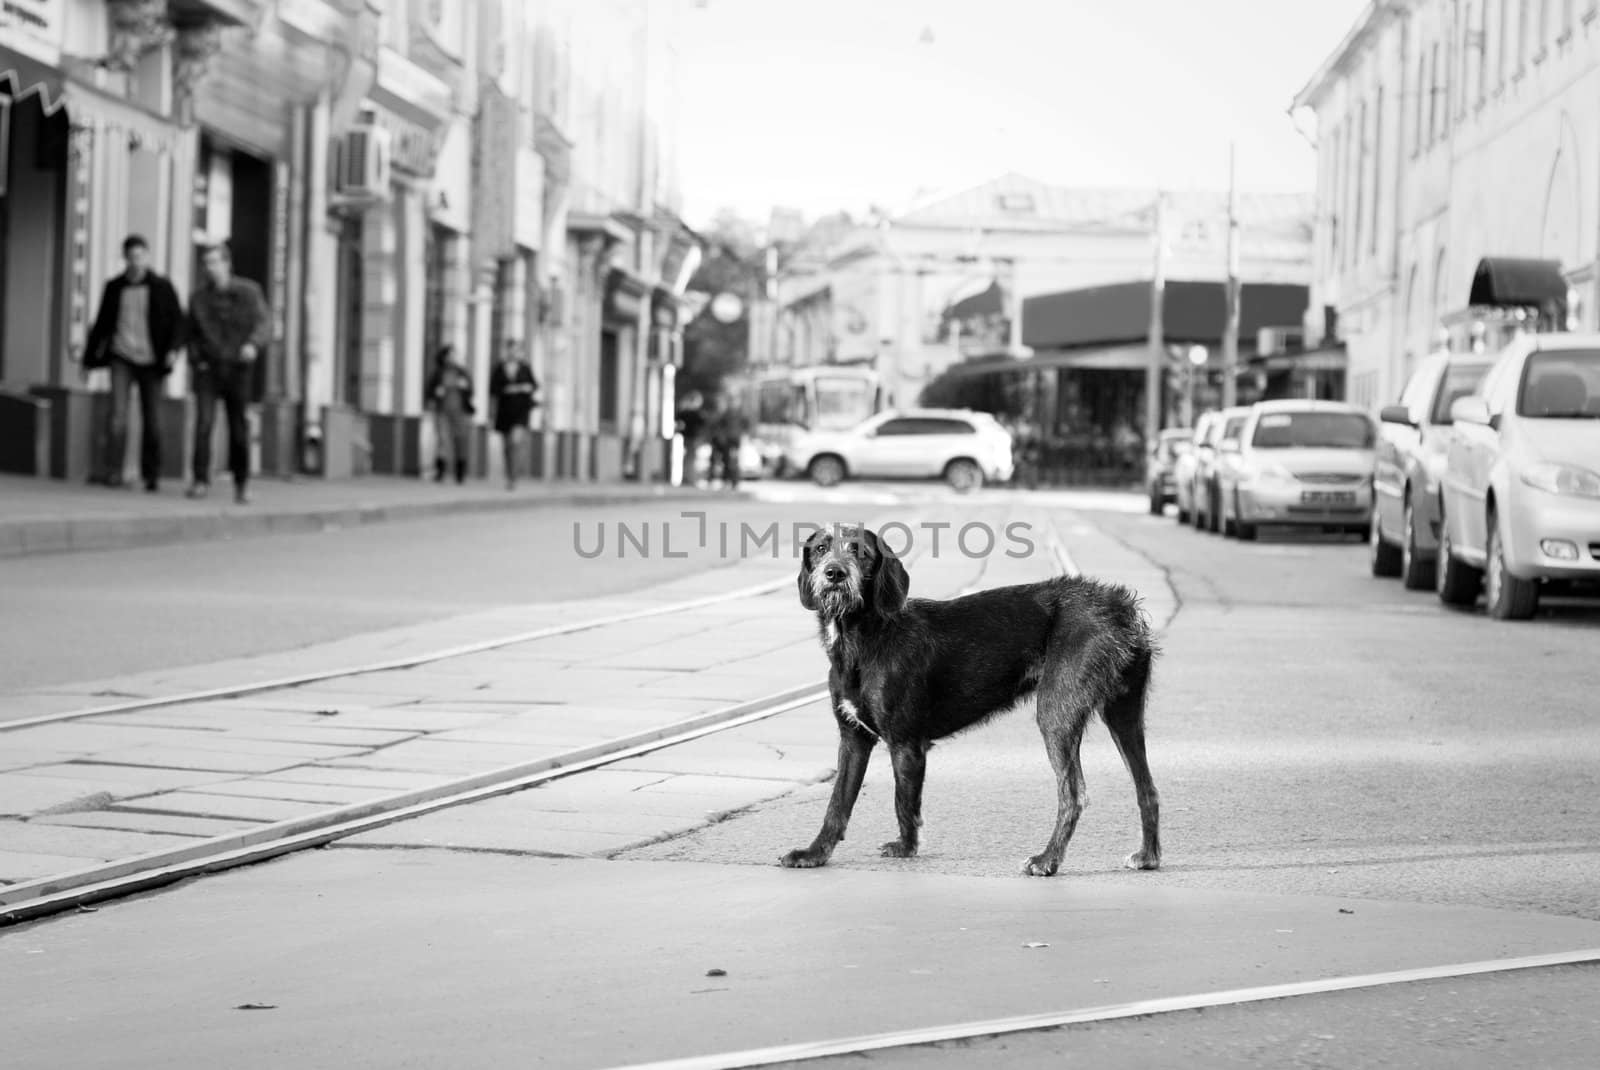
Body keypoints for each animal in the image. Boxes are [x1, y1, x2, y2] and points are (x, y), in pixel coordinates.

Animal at [780, 521, 1158, 870]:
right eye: (820, 548)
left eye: (859, 551)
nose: (834, 573)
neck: (864, 636)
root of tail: (1120, 608)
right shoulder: (853, 738)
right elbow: (837, 804)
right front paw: (813, 853)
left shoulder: (906, 743)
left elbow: (903, 800)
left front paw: (906, 847)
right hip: (1124, 713)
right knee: (1147, 788)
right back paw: (1148, 856)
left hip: (1056, 712)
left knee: (1074, 794)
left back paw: (1047, 860)